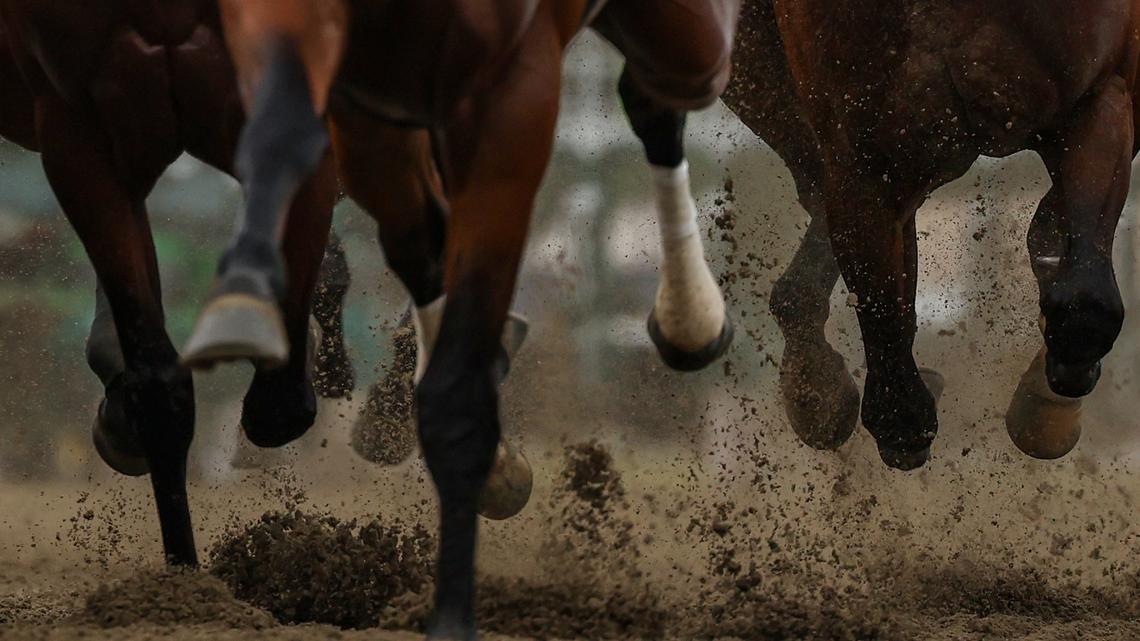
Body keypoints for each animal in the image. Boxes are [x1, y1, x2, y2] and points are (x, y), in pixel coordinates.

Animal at [191, 1, 738, 637]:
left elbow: (457, 385)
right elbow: (411, 241)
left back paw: (690, 321)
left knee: (667, 88)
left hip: (680, 41)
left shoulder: (509, 99)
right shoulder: (366, 110)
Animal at [722, 0, 1140, 469]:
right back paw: (816, 382)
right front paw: (889, 413)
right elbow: (881, 305)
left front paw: (1046, 411)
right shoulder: (864, 160)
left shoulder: (1101, 94)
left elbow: (1084, 297)